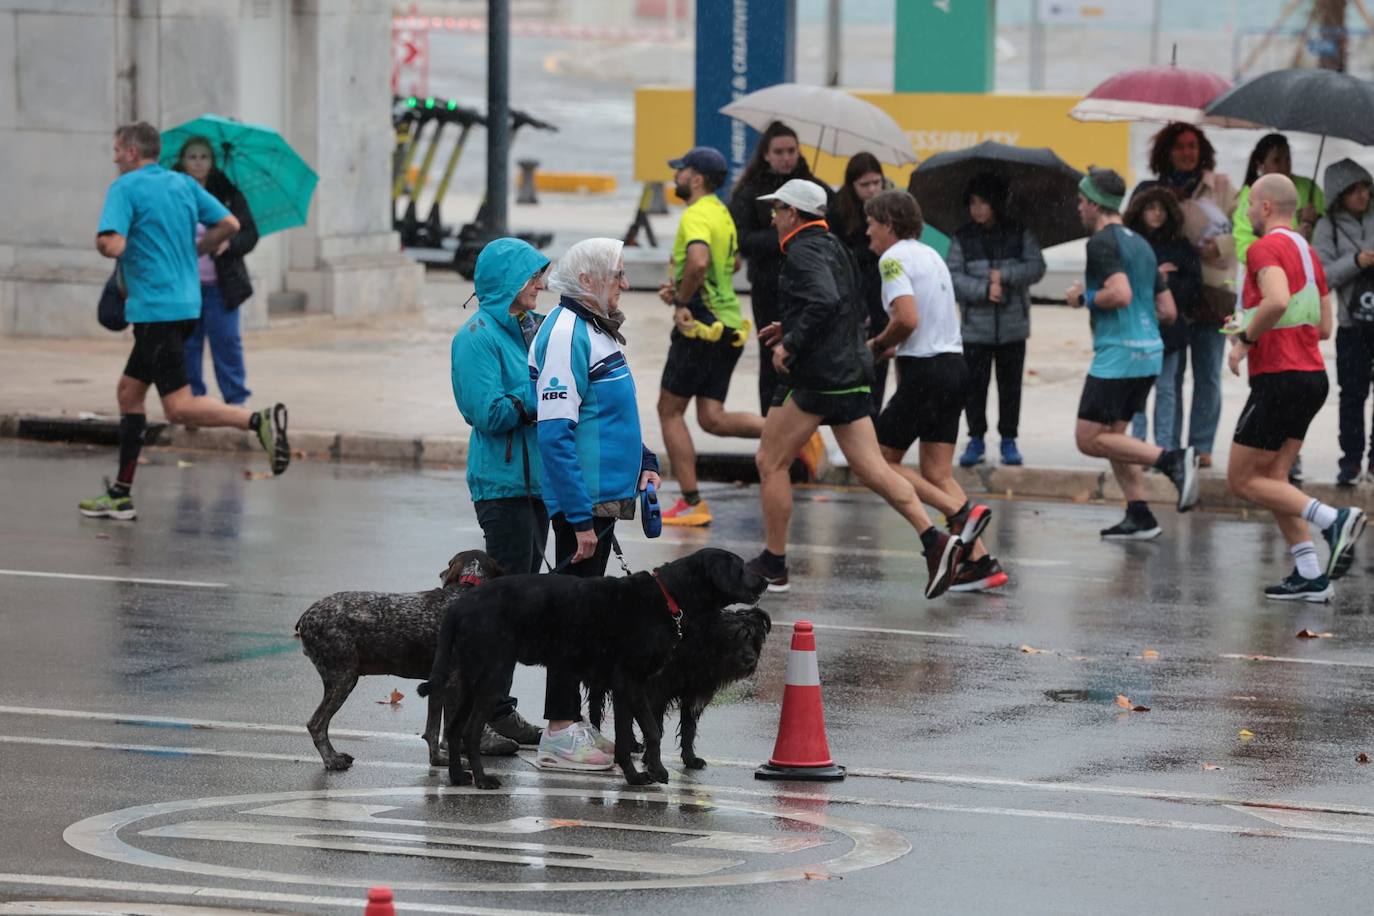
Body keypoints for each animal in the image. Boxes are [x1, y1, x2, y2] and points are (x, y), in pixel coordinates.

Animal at [295, 549, 505, 769]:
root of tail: (306, 617)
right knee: (317, 724)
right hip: (344, 678)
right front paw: (444, 760)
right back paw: (332, 759)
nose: (440, 573)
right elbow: (438, 729)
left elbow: (438, 728)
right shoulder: (449, 685)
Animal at [582, 604, 769, 769]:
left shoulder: (693, 695)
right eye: (732, 637)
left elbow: (688, 729)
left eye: (755, 640)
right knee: (595, 709)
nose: (750, 659)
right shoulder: (657, 694)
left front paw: (690, 759)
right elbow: (655, 728)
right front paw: (651, 759)